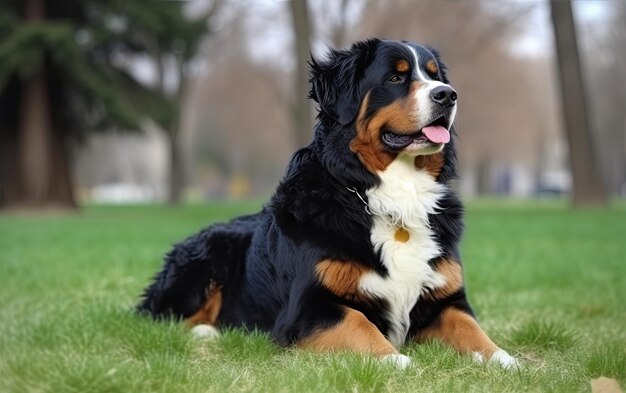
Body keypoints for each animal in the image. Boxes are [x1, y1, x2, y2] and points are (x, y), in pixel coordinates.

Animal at [136, 38, 516, 370]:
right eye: (395, 77)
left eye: (436, 77)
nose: (447, 95)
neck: (390, 192)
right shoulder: (308, 308)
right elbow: (359, 322)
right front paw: (395, 359)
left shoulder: (445, 301)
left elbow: (472, 329)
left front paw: (505, 360)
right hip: (204, 260)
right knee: (161, 318)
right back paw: (207, 332)